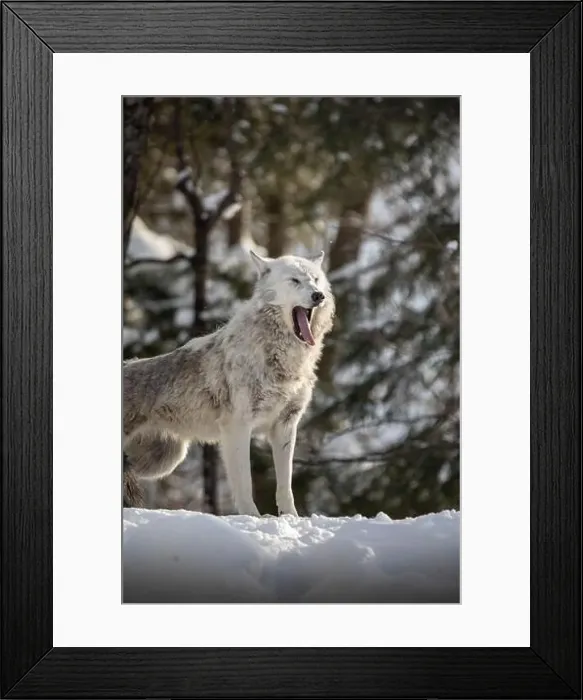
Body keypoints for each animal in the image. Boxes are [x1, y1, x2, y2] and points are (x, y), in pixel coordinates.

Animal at [123, 249, 335, 516]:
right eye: (295, 281)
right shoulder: (238, 427)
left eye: (316, 280)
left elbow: (285, 487)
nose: (318, 296)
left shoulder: (285, 425)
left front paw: (291, 519)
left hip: (164, 461)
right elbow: (244, 483)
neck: (283, 360)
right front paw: (253, 518)